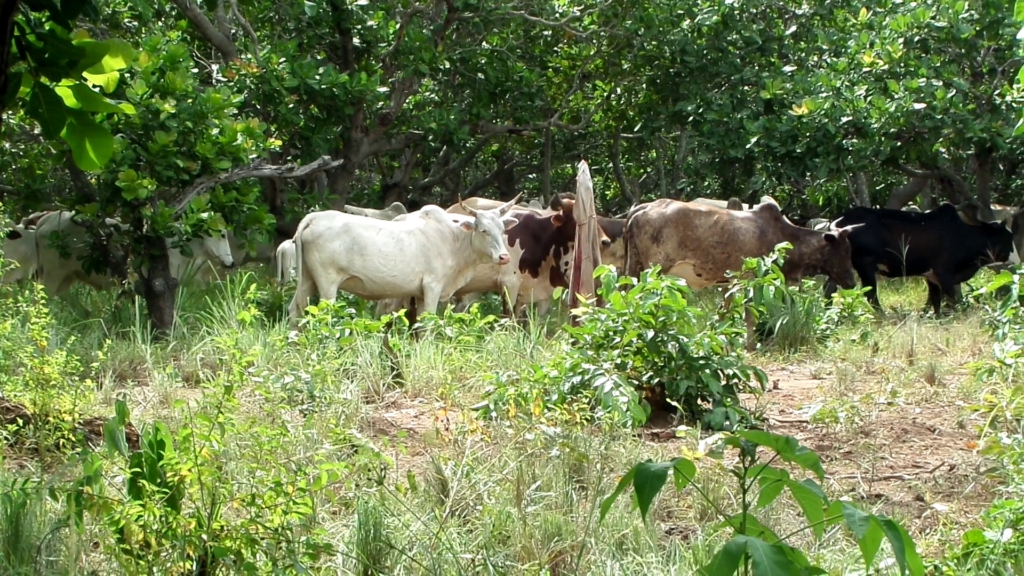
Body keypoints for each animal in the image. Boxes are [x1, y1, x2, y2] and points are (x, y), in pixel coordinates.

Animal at [290, 194, 524, 325]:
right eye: (483, 230)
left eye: (502, 229)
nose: (504, 257)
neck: (453, 239)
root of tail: (313, 217)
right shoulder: (432, 287)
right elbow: (428, 323)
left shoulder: (418, 294)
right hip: (327, 283)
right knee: (322, 314)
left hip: (308, 279)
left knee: (296, 309)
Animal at [827, 202, 1019, 313]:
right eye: (1008, 238)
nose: (1017, 260)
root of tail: (842, 221)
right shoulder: (943, 273)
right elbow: (952, 298)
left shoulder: (931, 275)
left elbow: (935, 300)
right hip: (864, 266)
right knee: (871, 294)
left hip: (840, 265)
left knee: (829, 288)